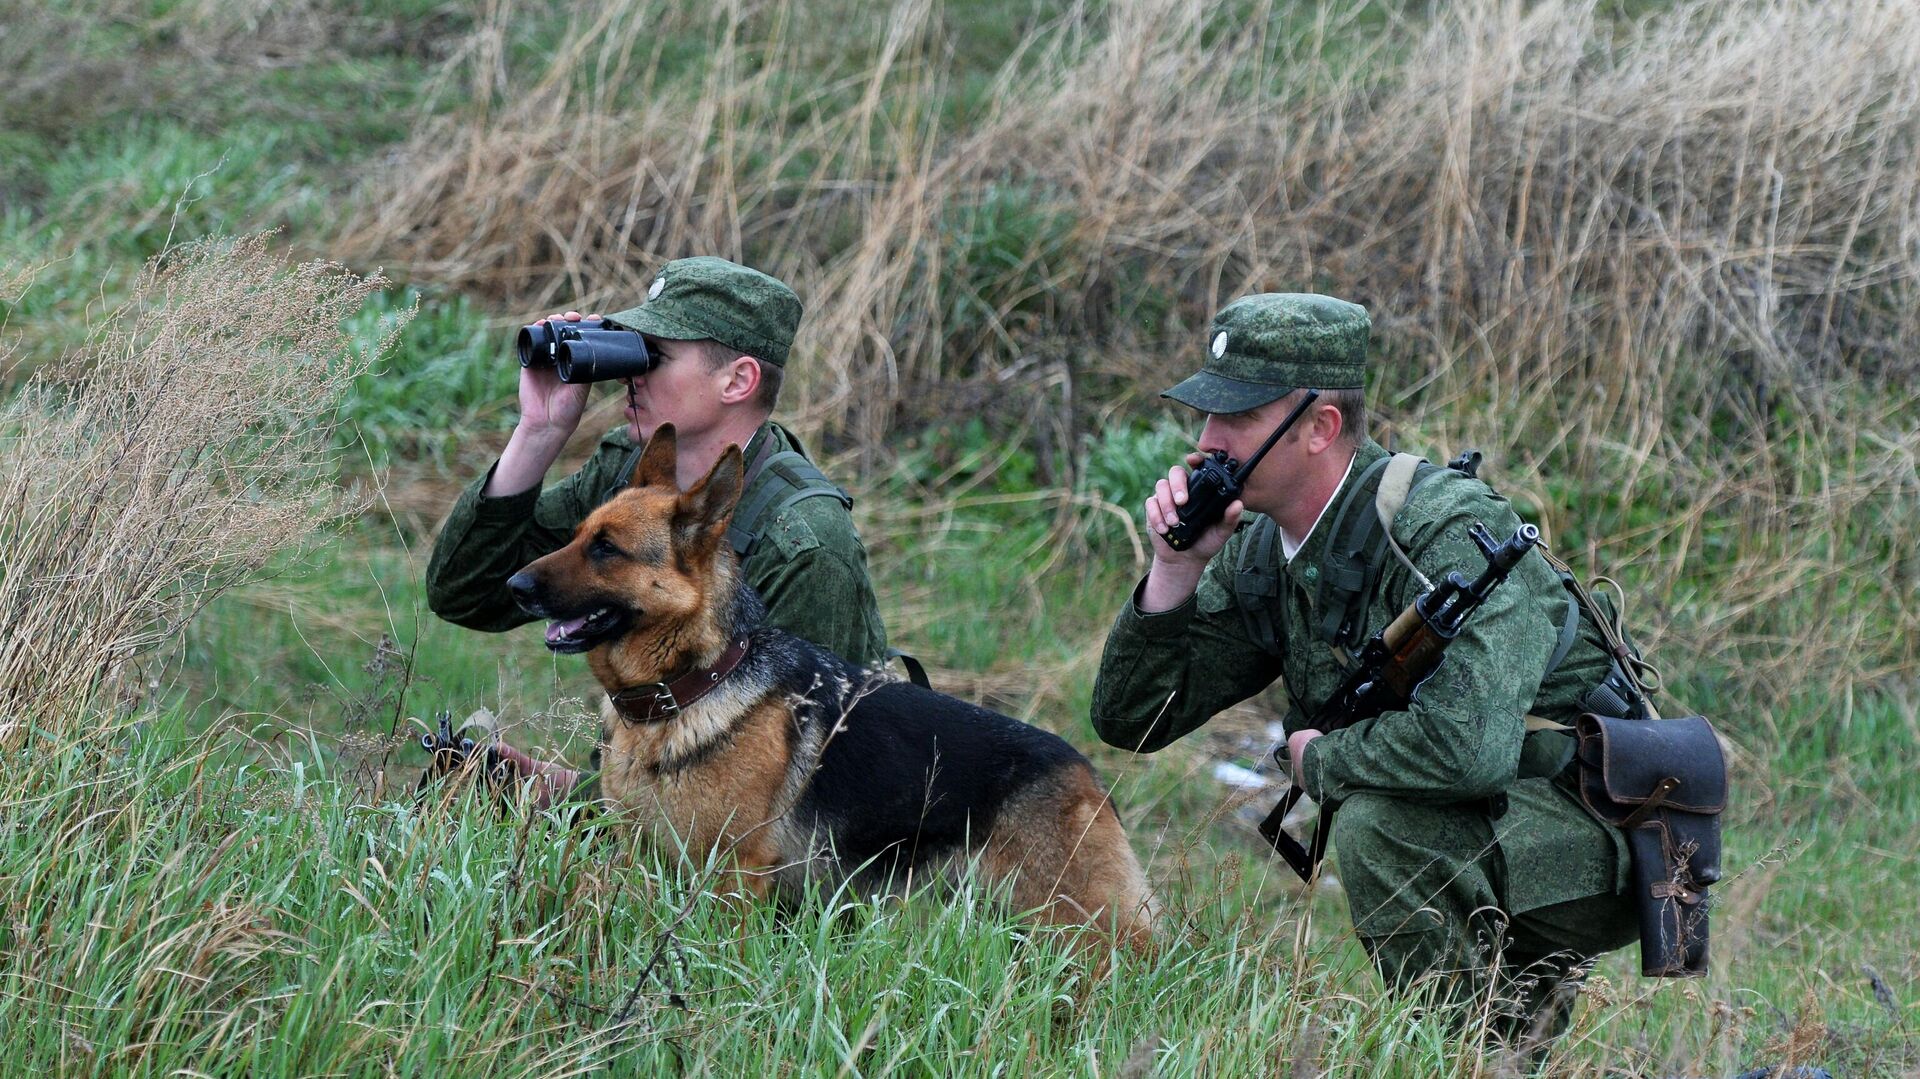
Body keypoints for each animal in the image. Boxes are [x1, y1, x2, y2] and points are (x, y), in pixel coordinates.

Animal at [503, 424, 1144, 944]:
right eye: (577, 534)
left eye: (606, 549)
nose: (514, 585)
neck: (691, 686)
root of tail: (1089, 774)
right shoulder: (642, 858)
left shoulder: (733, 875)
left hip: (1080, 931)